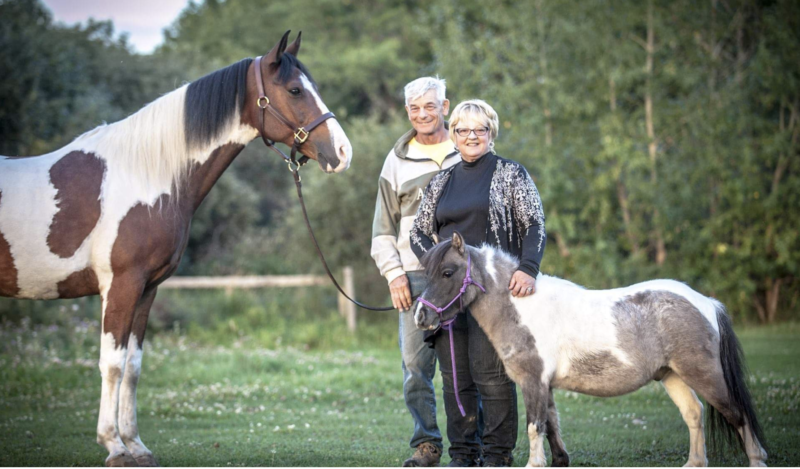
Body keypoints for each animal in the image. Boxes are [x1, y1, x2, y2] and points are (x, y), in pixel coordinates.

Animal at [0, 32, 350, 464]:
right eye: (295, 90)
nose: (343, 152)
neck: (144, 174)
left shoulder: (147, 288)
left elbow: (133, 366)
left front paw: (136, 445)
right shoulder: (121, 286)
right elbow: (112, 364)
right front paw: (114, 446)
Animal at [416, 232, 764, 466]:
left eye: (447, 272)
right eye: (425, 273)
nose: (421, 316)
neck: (521, 308)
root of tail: (707, 303)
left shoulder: (533, 382)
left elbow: (534, 427)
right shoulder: (545, 386)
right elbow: (551, 426)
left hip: (703, 374)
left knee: (738, 414)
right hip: (671, 375)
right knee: (694, 414)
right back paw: (693, 463)